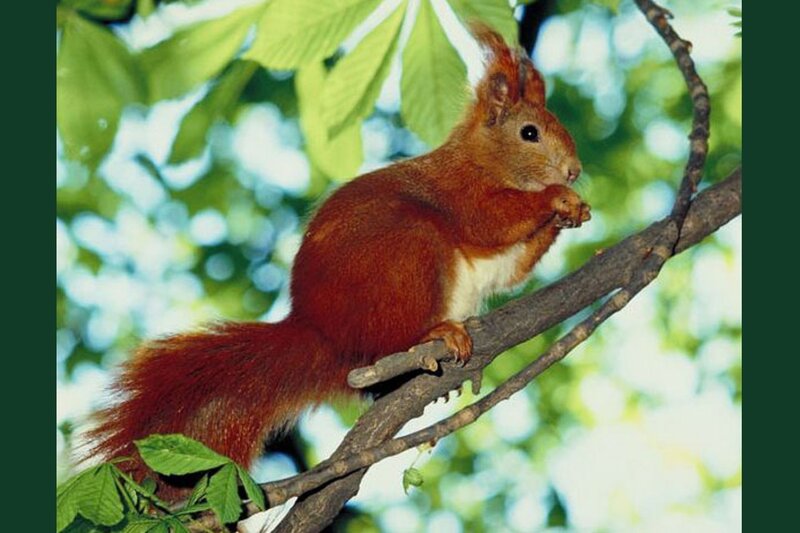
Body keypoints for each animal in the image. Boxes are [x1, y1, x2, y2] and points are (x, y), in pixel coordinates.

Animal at [84, 26, 590, 497]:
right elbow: (491, 220)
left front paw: (573, 211)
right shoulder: (460, 192)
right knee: (393, 334)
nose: (574, 171)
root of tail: (323, 334)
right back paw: (434, 334)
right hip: (408, 254)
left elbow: (513, 270)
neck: (486, 161)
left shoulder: (499, 253)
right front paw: (557, 199)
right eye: (529, 133)